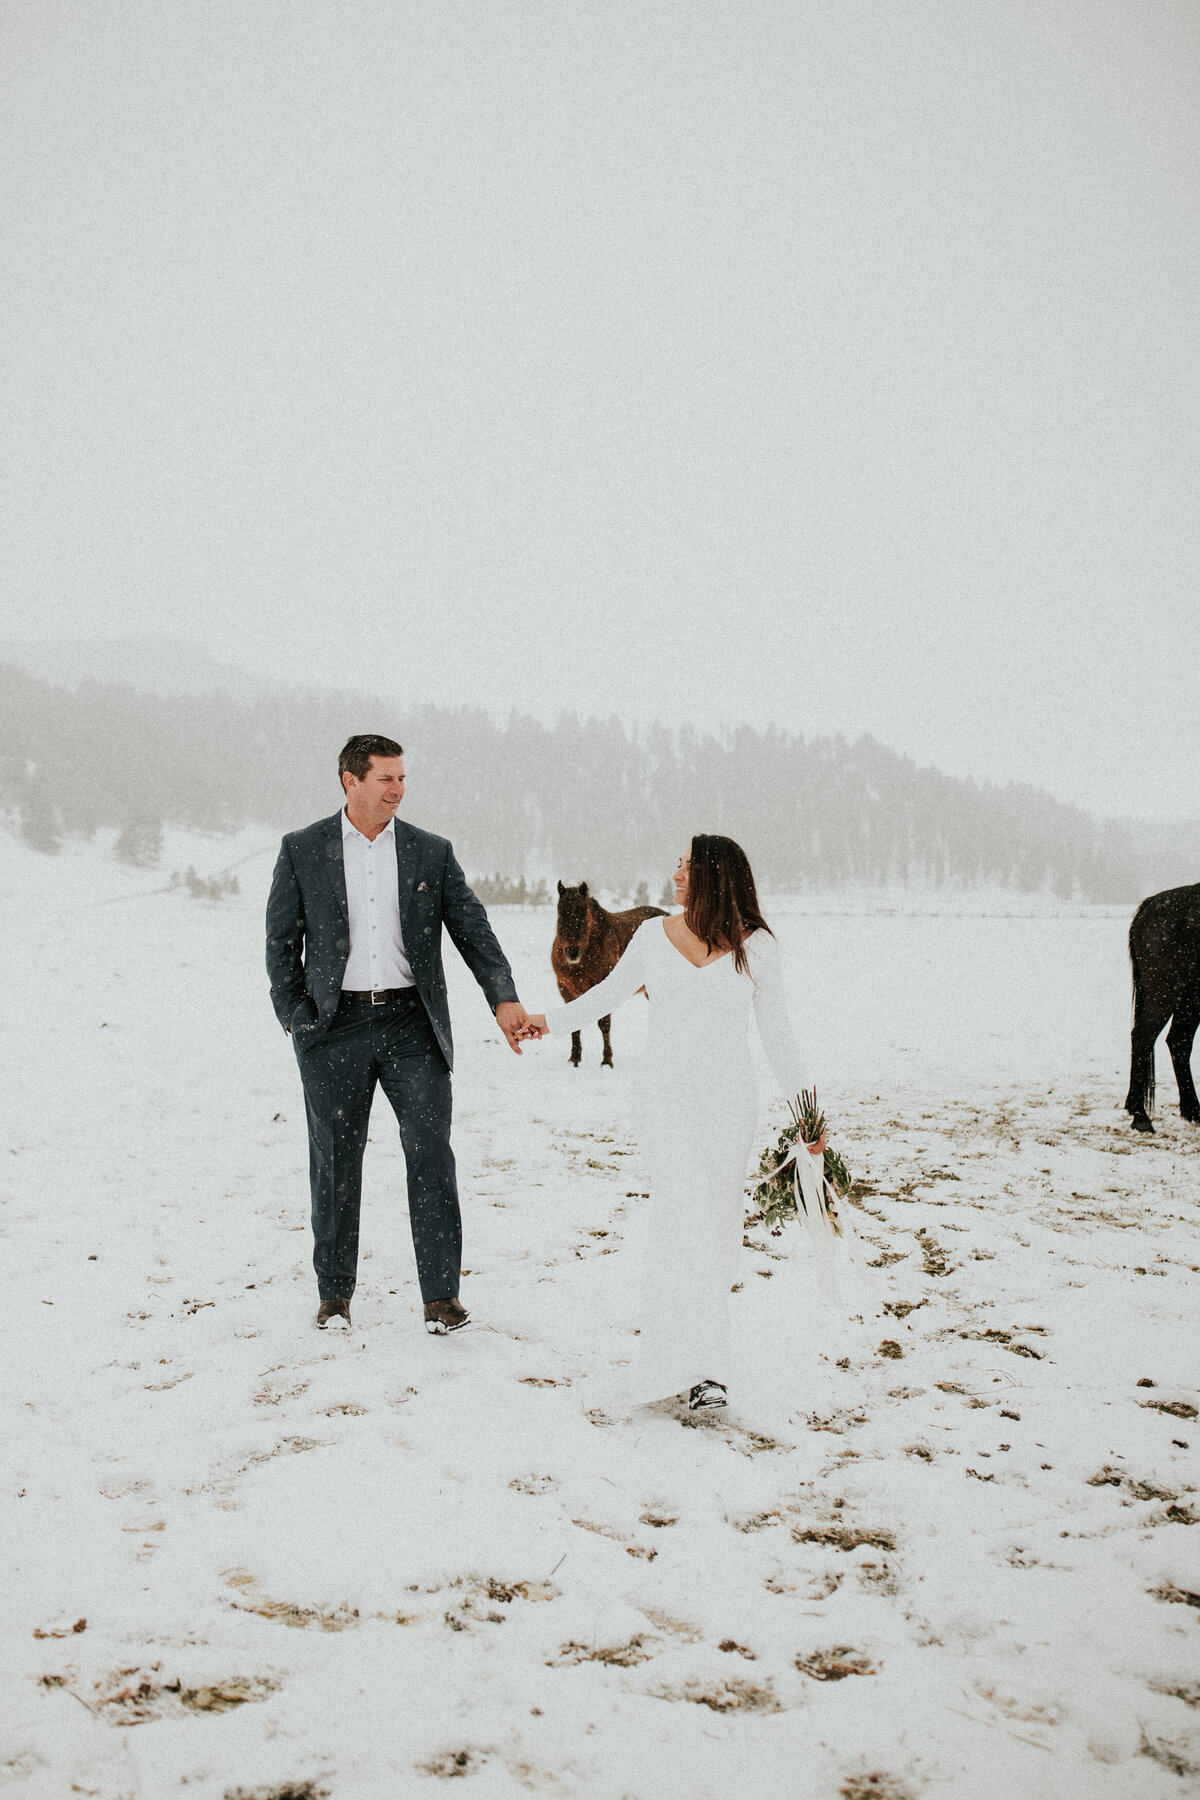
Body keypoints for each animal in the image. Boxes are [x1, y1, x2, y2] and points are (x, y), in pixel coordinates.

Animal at [554, 878, 665, 1058]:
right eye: (560, 913)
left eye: (584, 913)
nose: (572, 951)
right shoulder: (567, 990)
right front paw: (575, 1058)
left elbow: (604, 1023)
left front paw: (607, 1059)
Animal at [1129, 882, 1200, 1130]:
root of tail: (1150, 905)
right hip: (1166, 995)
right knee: (1143, 1037)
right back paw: (1140, 1116)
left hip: (1189, 1000)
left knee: (1179, 1042)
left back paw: (1193, 1111)